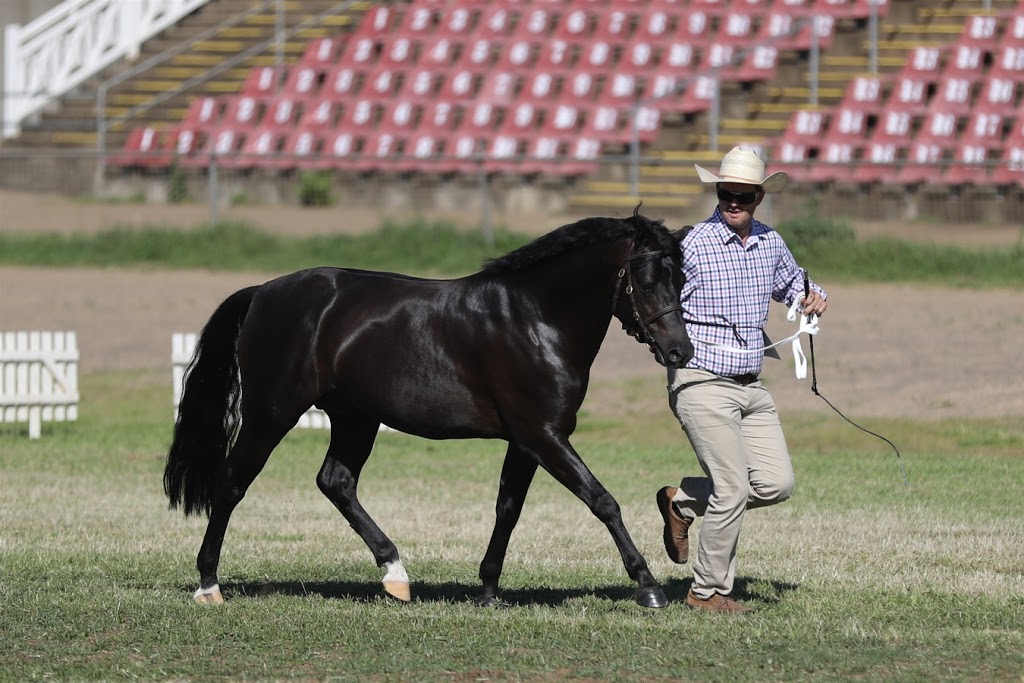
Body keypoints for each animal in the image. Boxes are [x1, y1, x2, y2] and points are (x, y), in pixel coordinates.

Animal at [165, 211, 696, 610]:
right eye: (646, 280)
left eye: (682, 277)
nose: (680, 351)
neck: (534, 319)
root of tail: (262, 292)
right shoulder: (544, 435)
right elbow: (602, 501)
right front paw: (648, 585)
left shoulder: (527, 440)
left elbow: (508, 509)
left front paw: (487, 590)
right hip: (272, 414)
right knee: (232, 484)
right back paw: (209, 585)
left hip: (356, 418)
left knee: (335, 482)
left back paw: (395, 575)